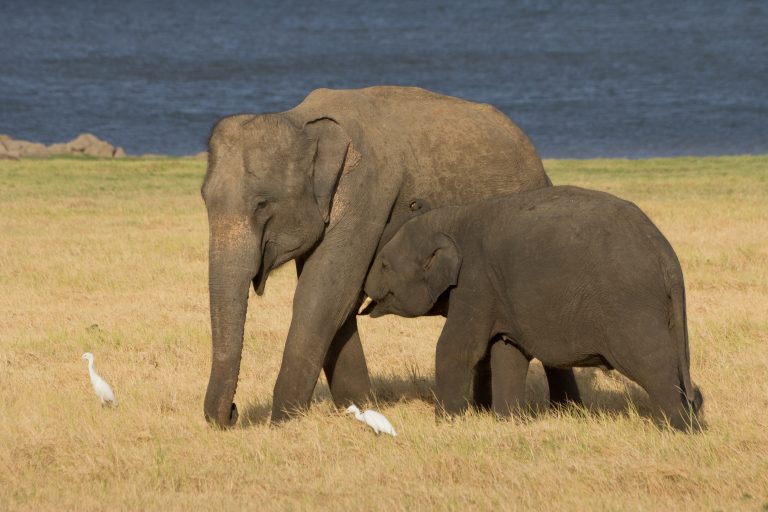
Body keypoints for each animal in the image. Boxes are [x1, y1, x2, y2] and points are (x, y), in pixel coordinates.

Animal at [201, 86, 581, 427]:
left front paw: (283, 422)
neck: (302, 119)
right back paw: (485, 409)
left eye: (262, 204)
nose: (232, 413)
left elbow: (324, 297)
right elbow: (339, 304)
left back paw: (566, 410)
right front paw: (359, 409)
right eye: (204, 198)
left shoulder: (367, 192)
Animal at [363, 186, 704, 431]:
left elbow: (458, 348)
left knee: (651, 361)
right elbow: (507, 351)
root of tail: (665, 254)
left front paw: (445, 424)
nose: (364, 292)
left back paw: (680, 429)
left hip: (628, 303)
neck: (450, 219)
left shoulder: (475, 281)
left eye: (384, 264)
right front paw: (510, 423)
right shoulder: (499, 293)